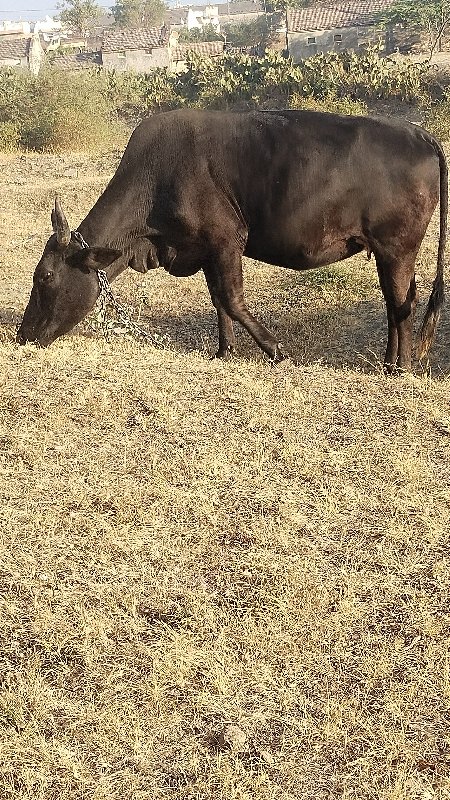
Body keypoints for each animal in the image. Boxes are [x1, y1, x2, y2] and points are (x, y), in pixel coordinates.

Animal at [17, 107, 446, 372]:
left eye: (45, 277)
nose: (22, 336)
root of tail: (417, 133)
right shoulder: (204, 249)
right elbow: (219, 302)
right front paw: (224, 352)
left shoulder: (226, 241)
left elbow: (233, 300)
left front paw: (275, 350)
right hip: (388, 252)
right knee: (394, 303)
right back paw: (389, 362)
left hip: (397, 247)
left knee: (402, 303)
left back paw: (402, 367)